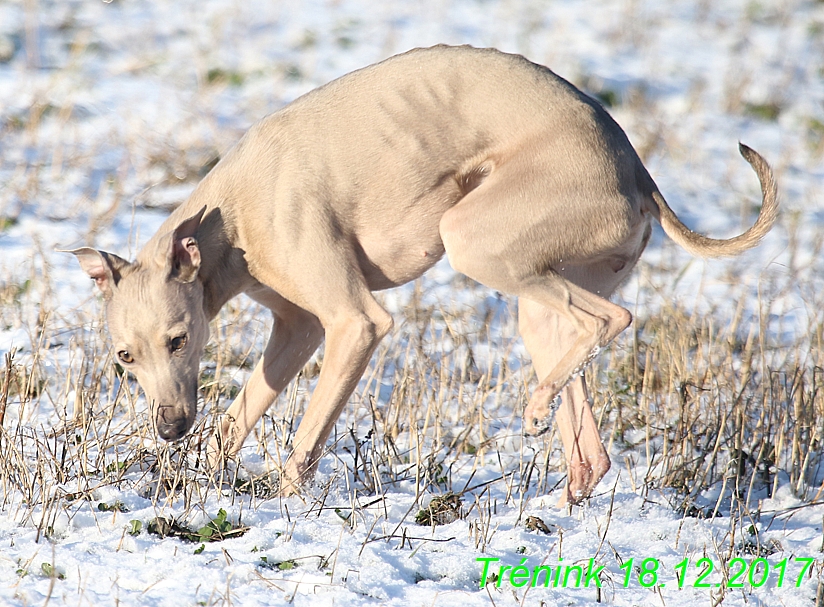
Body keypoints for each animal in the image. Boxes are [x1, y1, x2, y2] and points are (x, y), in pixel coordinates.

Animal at [71, 46, 780, 504]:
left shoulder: (353, 324)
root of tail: (636, 167)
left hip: (473, 240)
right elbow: (234, 419)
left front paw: (286, 502)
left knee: (614, 318)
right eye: (123, 357)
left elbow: (308, 435)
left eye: (179, 340)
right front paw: (199, 480)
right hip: (538, 298)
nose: (168, 427)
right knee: (592, 441)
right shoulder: (299, 328)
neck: (233, 215)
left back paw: (536, 409)